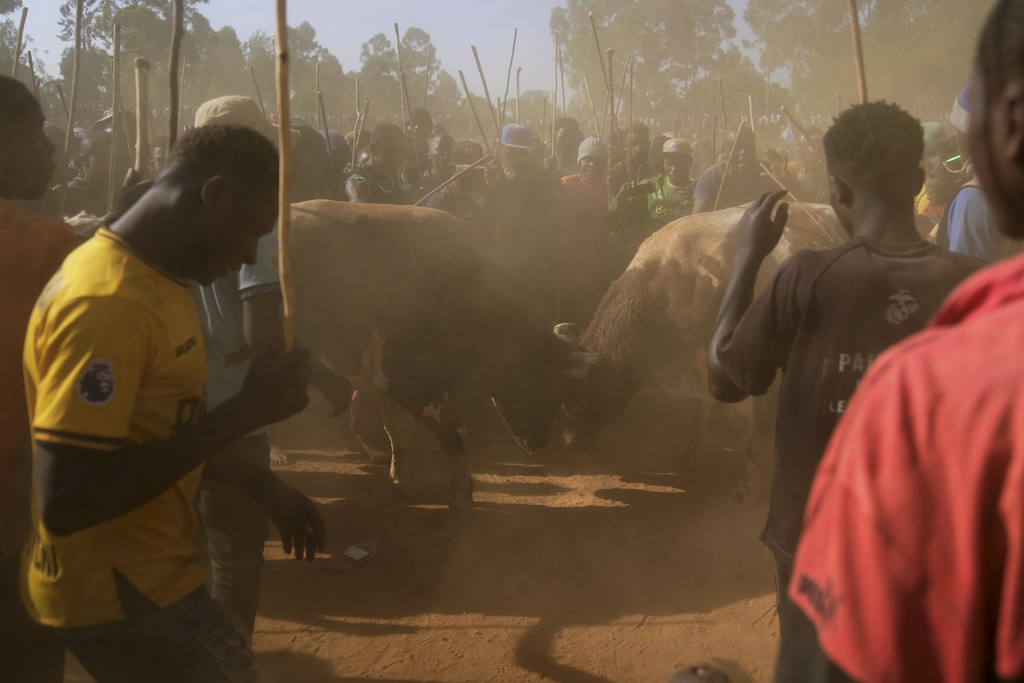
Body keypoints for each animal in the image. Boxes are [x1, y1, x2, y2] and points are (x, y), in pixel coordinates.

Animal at [288, 200, 600, 510]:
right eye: (547, 391)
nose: (539, 444)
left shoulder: (390, 383)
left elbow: (398, 431)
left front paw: (402, 481)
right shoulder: (417, 385)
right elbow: (455, 433)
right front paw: (462, 492)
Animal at [555, 203, 847, 502]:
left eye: (584, 395)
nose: (570, 439)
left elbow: (738, 422)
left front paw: (749, 482)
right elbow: (700, 411)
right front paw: (688, 456)